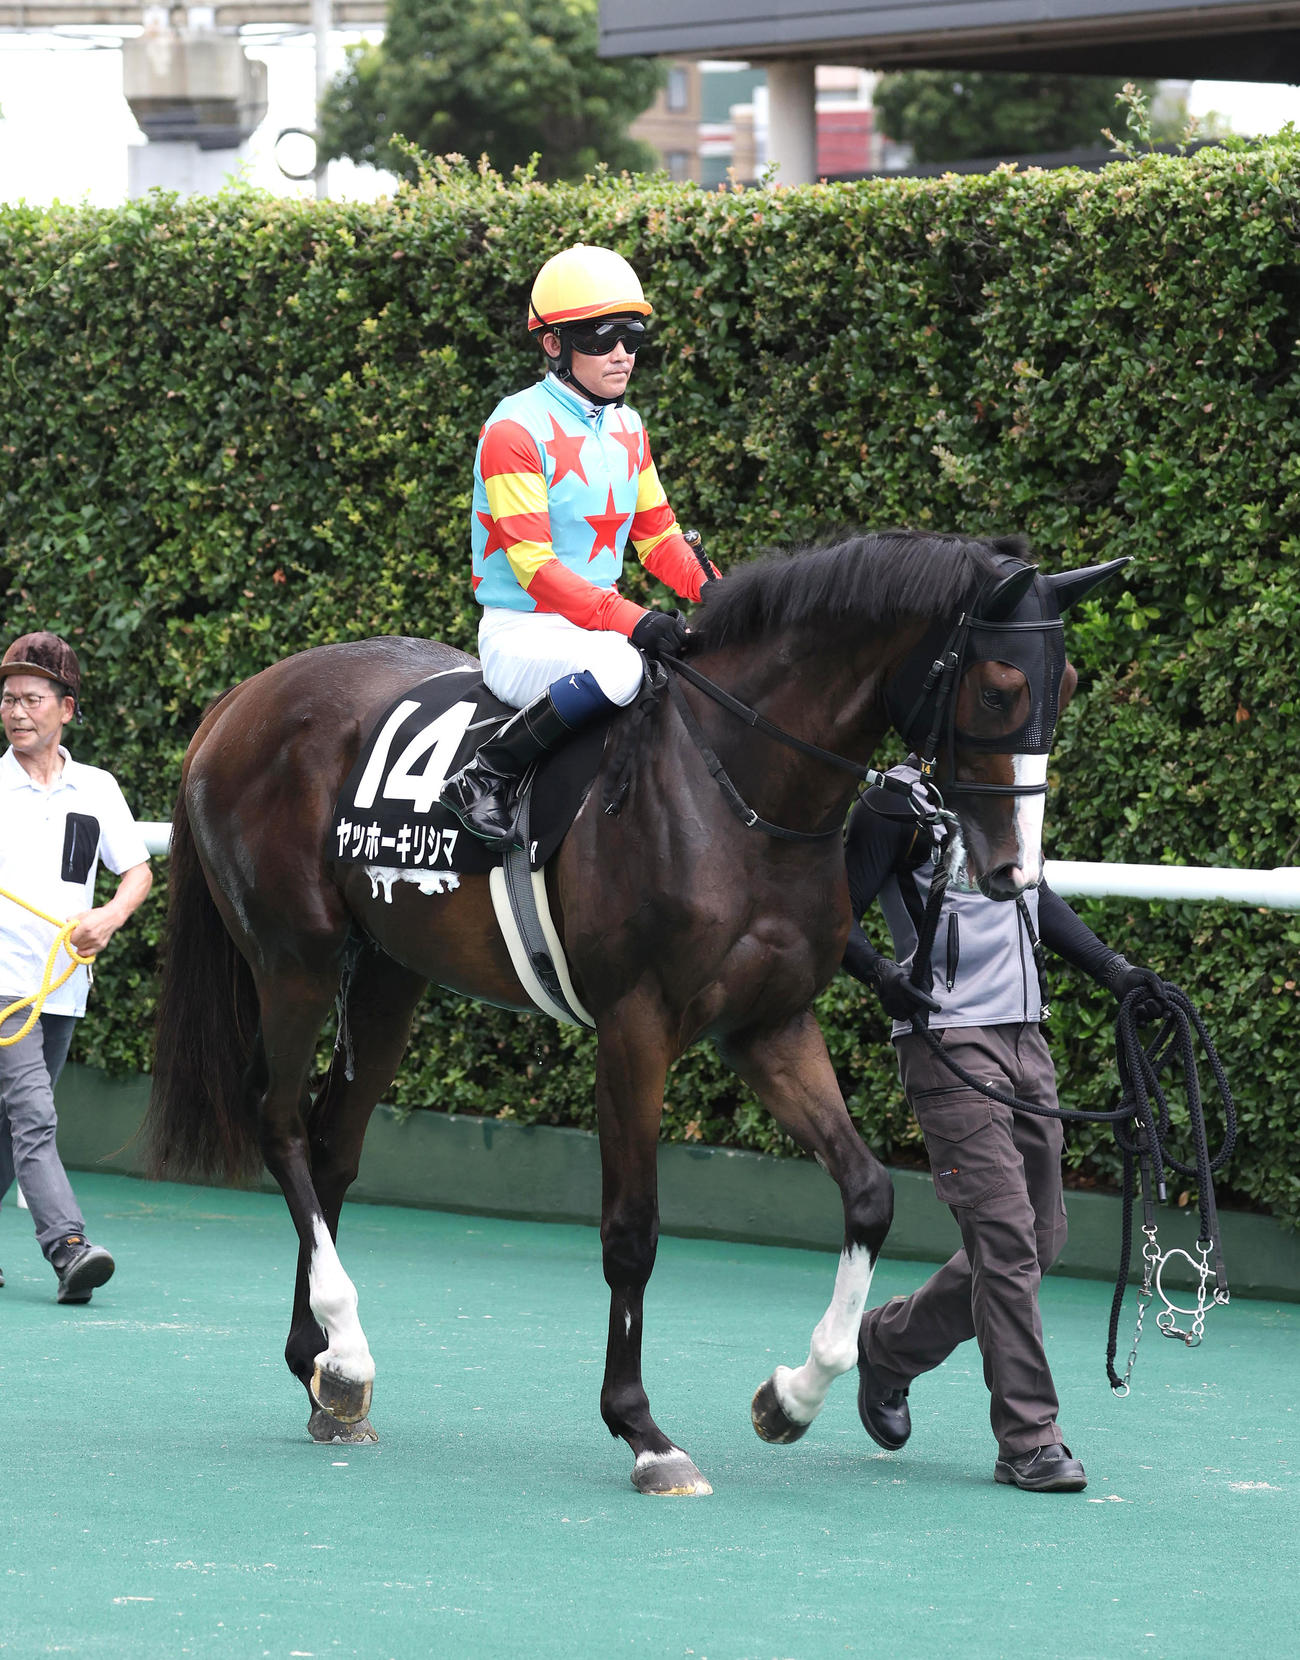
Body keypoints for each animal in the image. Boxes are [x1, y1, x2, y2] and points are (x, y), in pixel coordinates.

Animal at [145, 529, 1110, 1496]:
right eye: (1000, 687)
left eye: (1064, 686)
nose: (1014, 872)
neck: (737, 789)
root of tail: (239, 699)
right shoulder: (634, 1026)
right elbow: (633, 1229)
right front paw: (643, 1431)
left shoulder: (769, 1025)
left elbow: (870, 1193)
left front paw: (792, 1396)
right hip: (295, 960)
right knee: (279, 1124)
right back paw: (345, 1353)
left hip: (388, 973)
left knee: (333, 1144)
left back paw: (324, 1369)